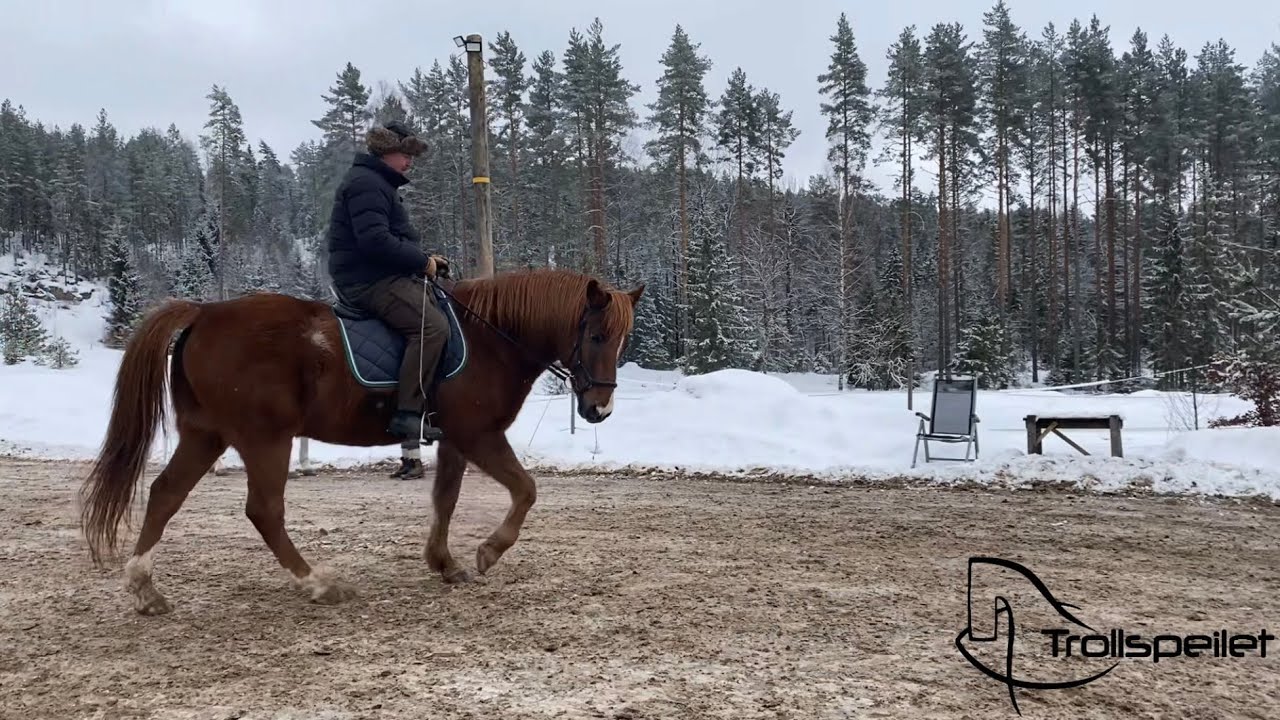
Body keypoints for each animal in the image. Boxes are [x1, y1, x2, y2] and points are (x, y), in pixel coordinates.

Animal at [76, 267, 644, 615]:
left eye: (621, 339)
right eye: (595, 335)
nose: (598, 409)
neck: (491, 339)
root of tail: (204, 313)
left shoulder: (454, 440)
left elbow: (446, 498)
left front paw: (445, 563)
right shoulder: (479, 435)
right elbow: (526, 490)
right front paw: (487, 552)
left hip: (206, 433)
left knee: (166, 494)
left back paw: (144, 589)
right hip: (265, 438)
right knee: (264, 510)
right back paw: (318, 583)